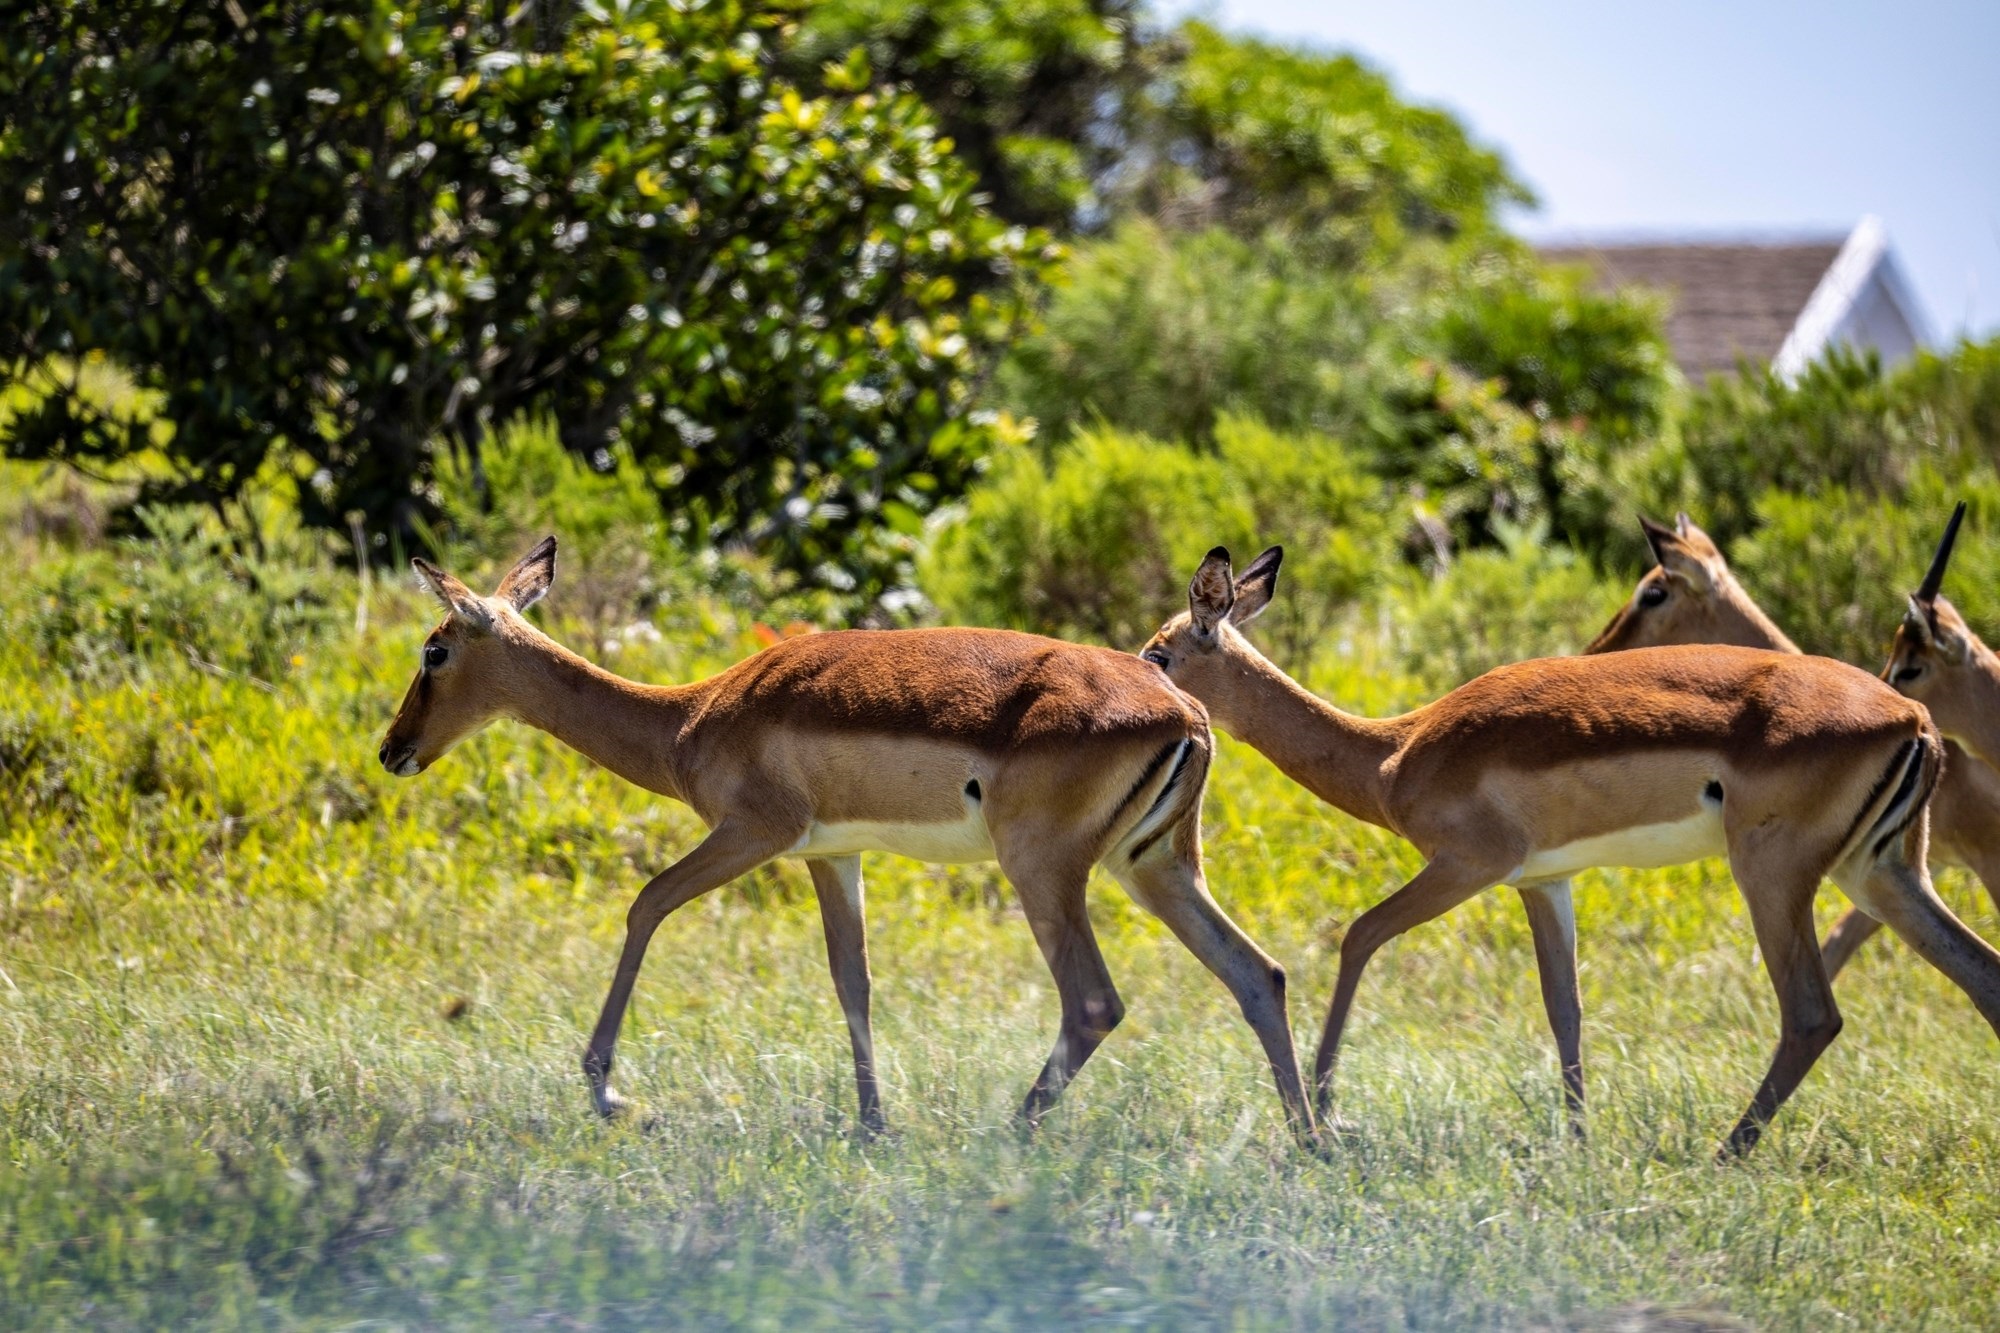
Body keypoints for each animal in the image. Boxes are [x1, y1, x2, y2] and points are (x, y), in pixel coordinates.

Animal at [377, 537, 1320, 1146]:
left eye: (434, 650)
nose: (393, 749)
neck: (688, 719)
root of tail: (1185, 713)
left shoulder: (753, 833)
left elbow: (644, 905)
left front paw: (609, 1091)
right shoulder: (831, 854)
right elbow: (852, 979)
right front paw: (873, 1124)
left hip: (1046, 871)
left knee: (1094, 1001)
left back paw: (1006, 1135)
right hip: (1155, 867)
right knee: (1258, 973)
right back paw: (1311, 1142)